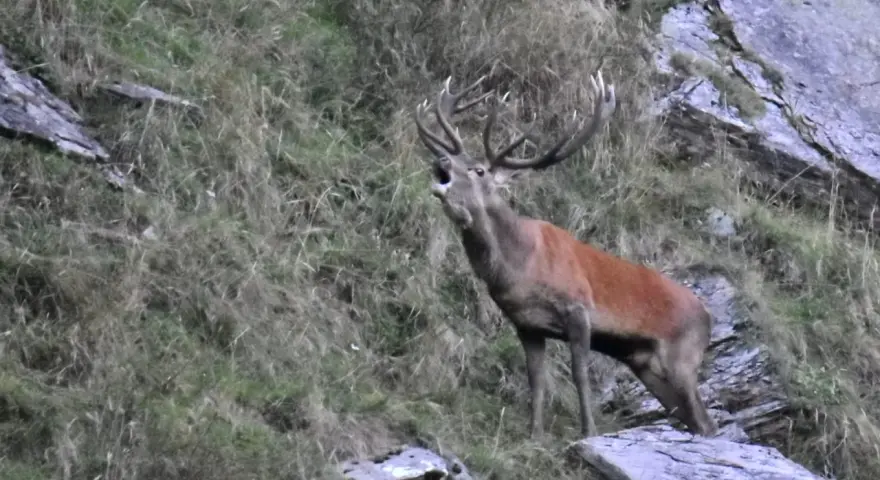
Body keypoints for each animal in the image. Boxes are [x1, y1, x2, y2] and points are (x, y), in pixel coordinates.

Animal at [412, 70, 719, 440]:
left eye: (479, 170)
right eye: (455, 160)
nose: (441, 160)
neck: (519, 268)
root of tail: (708, 317)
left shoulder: (578, 308)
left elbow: (579, 374)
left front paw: (588, 431)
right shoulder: (526, 324)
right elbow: (537, 381)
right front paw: (534, 434)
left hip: (683, 358)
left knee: (707, 422)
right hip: (649, 366)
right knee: (695, 420)